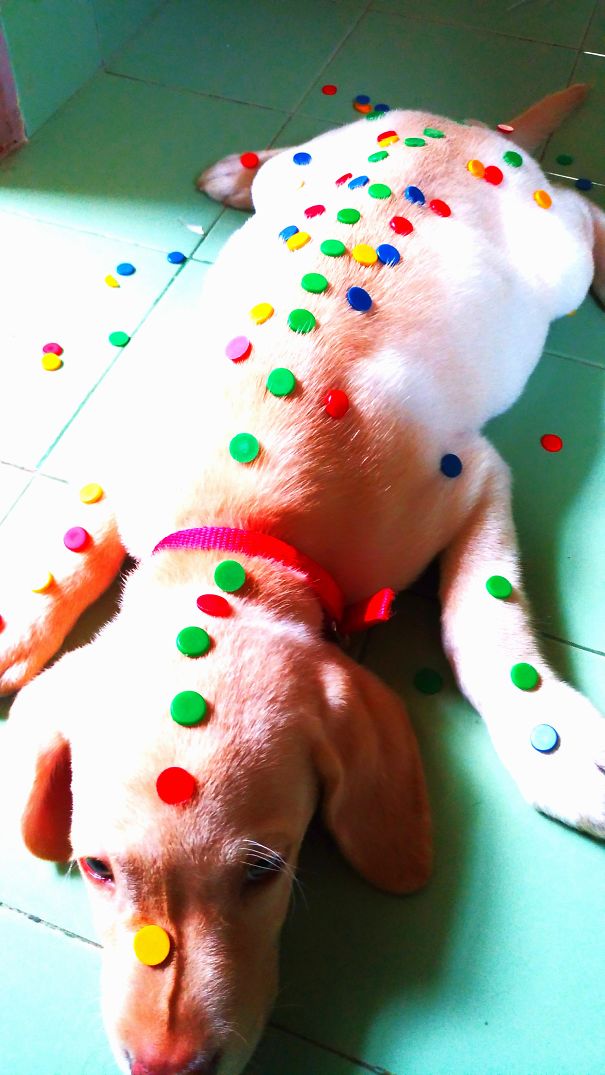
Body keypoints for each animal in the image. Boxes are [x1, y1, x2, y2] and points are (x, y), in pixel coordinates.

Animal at [1, 84, 604, 1075]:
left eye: (265, 869)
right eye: (96, 868)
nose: (164, 1068)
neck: (236, 534)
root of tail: (477, 129)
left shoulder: (473, 477)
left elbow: (481, 623)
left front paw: (548, 735)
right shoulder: (121, 455)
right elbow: (74, 541)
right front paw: (18, 622)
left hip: (552, 251)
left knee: (592, 217)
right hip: (313, 164)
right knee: (285, 162)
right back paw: (233, 170)